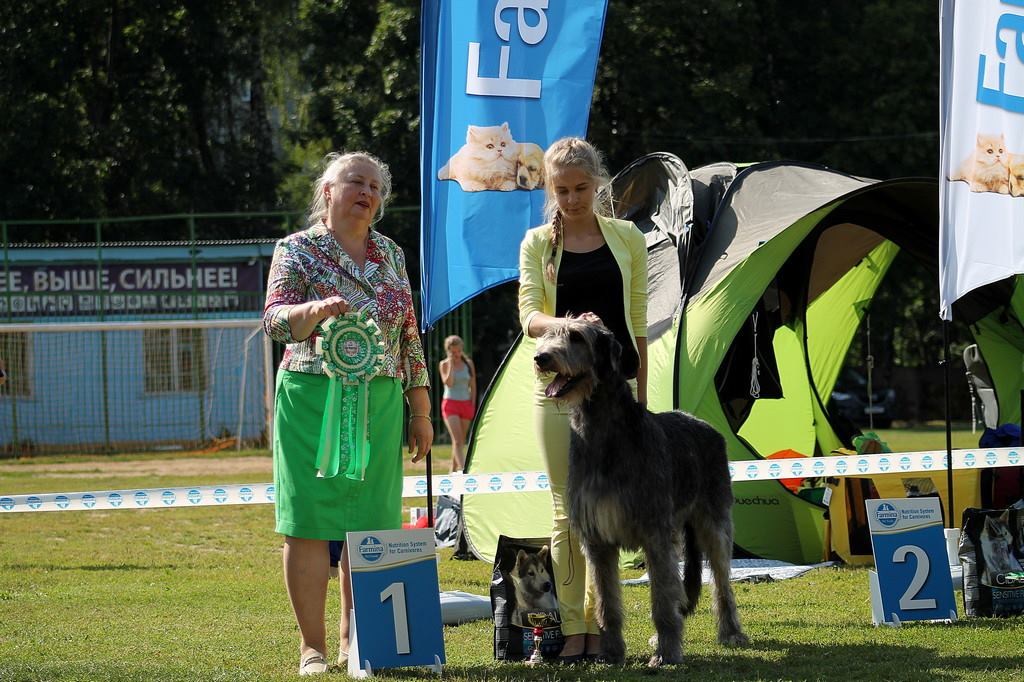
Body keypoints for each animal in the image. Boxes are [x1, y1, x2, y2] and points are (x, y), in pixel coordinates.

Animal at [536, 319, 745, 663]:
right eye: (547, 334)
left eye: (577, 337)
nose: (541, 358)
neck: (604, 433)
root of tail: (707, 426)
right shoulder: (597, 539)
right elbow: (606, 601)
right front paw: (611, 652)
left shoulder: (655, 531)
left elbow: (662, 598)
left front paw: (667, 652)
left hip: (714, 520)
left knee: (722, 581)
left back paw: (731, 632)